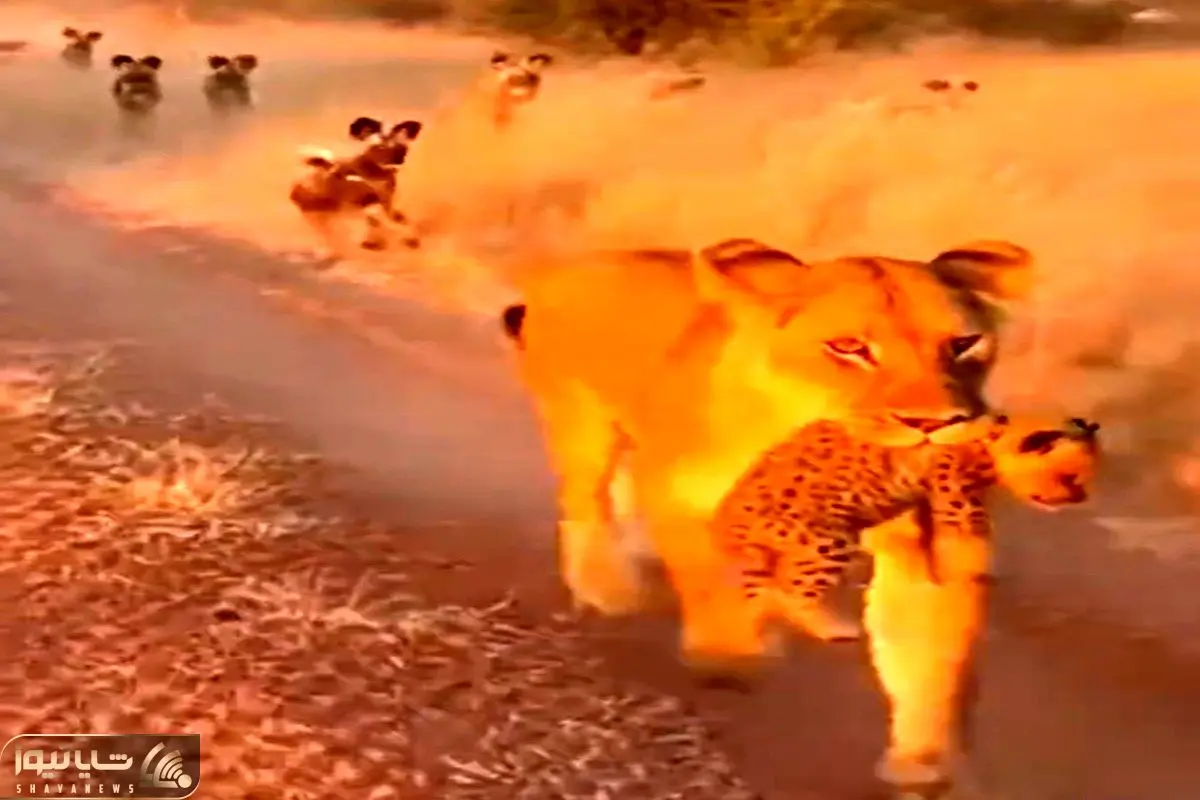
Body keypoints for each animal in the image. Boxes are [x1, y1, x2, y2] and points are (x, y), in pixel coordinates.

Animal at [289, 116, 423, 256]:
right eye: (379, 148)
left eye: (400, 148)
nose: (397, 161)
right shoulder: (366, 201)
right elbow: (377, 218)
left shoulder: (386, 204)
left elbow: (400, 220)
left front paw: (409, 239)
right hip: (322, 213)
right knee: (323, 233)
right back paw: (327, 250)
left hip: (334, 212)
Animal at [498, 236, 1035, 795]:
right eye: (848, 347)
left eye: (964, 343)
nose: (937, 424)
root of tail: (577, 263)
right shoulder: (687, 496)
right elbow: (714, 582)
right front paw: (732, 651)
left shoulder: (921, 541)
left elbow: (930, 646)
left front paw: (927, 762)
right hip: (582, 427)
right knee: (587, 503)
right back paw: (608, 588)